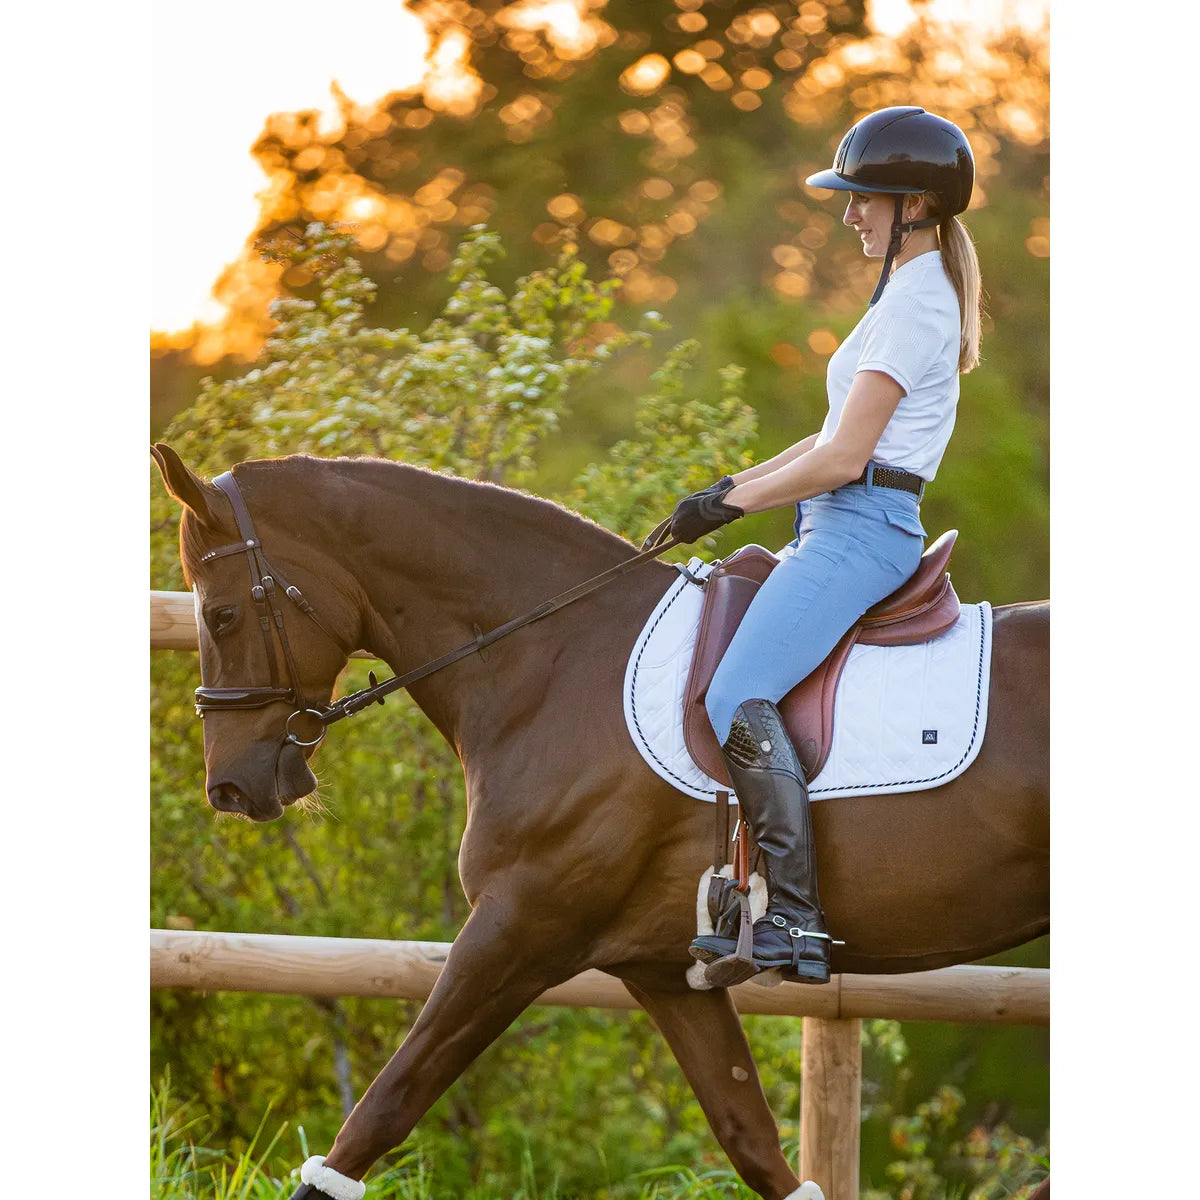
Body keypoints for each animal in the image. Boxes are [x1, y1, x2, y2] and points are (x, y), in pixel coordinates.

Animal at [151, 443, 1049, 1200]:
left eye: (222, 615)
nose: (230, 786)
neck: (551, 662)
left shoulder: (516, 931)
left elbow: (381, 1110)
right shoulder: (662, 971)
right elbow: (754, 1143)